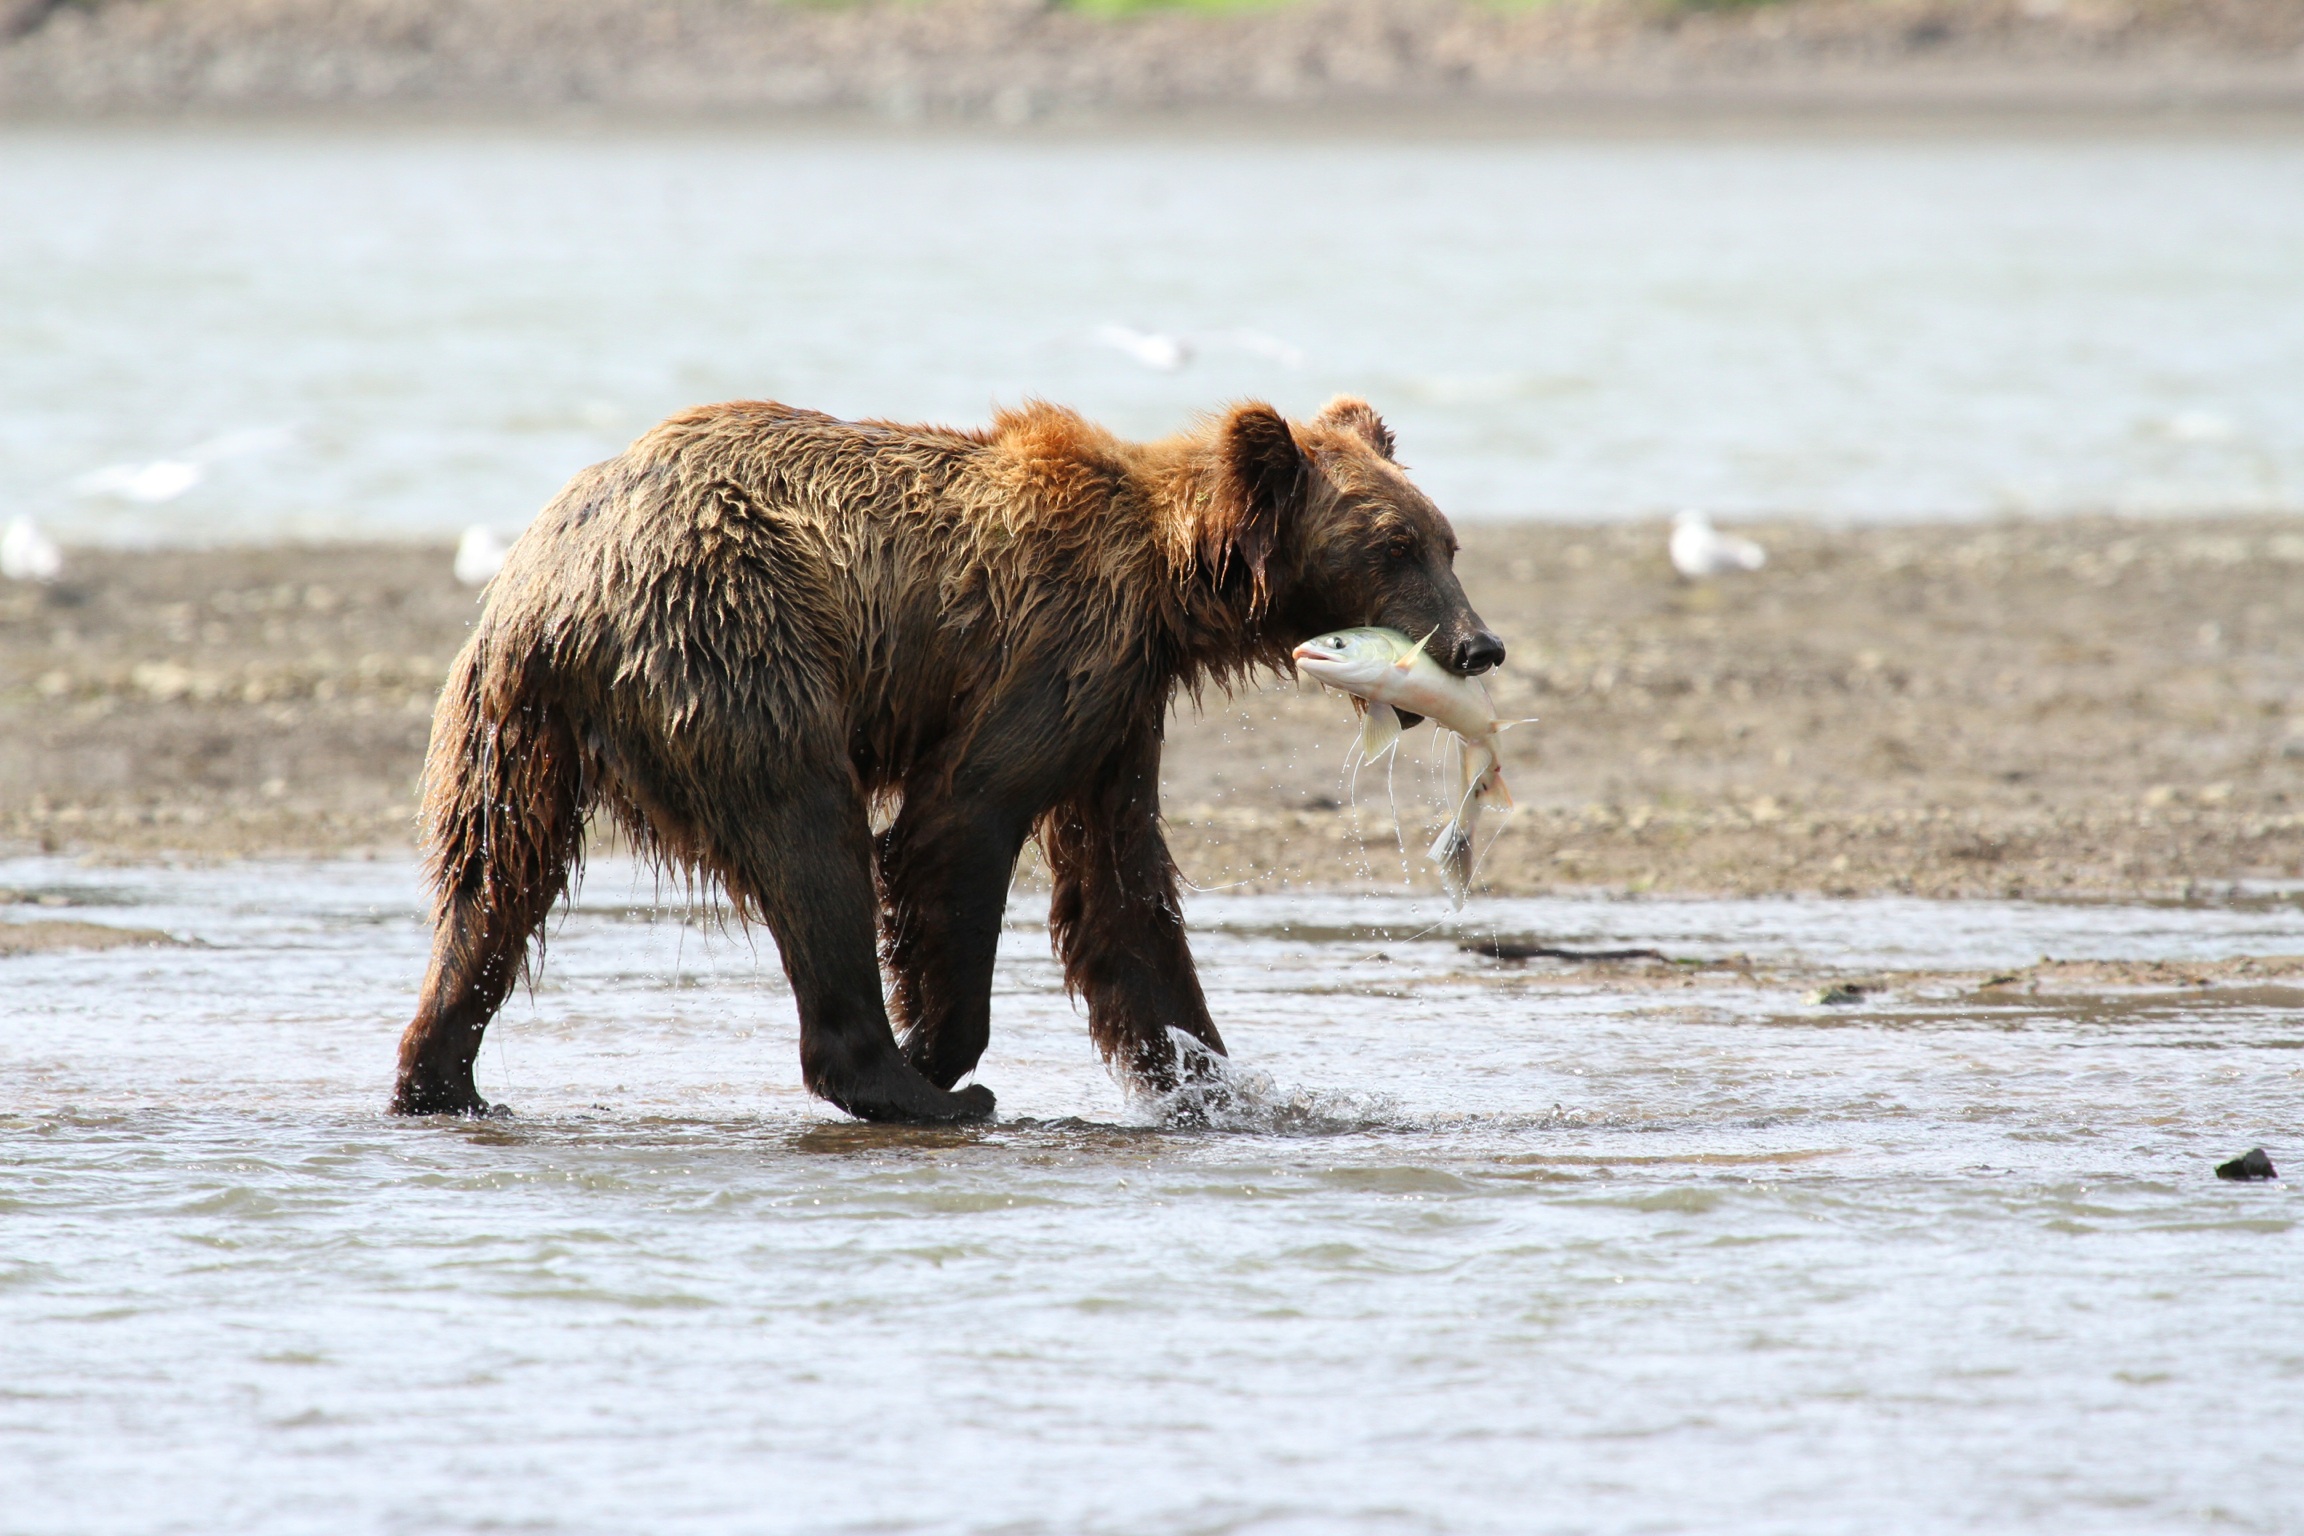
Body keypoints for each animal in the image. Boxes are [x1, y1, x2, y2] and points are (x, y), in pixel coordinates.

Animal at [392, 395, 1504, 1123]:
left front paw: (1220, 1080)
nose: (1478, 645)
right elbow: (959, 821)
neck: (1173, 580)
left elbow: (1122, 894)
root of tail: (551, 590)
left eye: (1446, 541)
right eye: (1395, 547)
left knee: (491, 882)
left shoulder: (1119, 707)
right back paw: (911, 1089)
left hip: (510, 728)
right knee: (810, 837)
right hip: (734, 642)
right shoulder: (1057, 646)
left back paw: (443, 1079)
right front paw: (942, 1051)